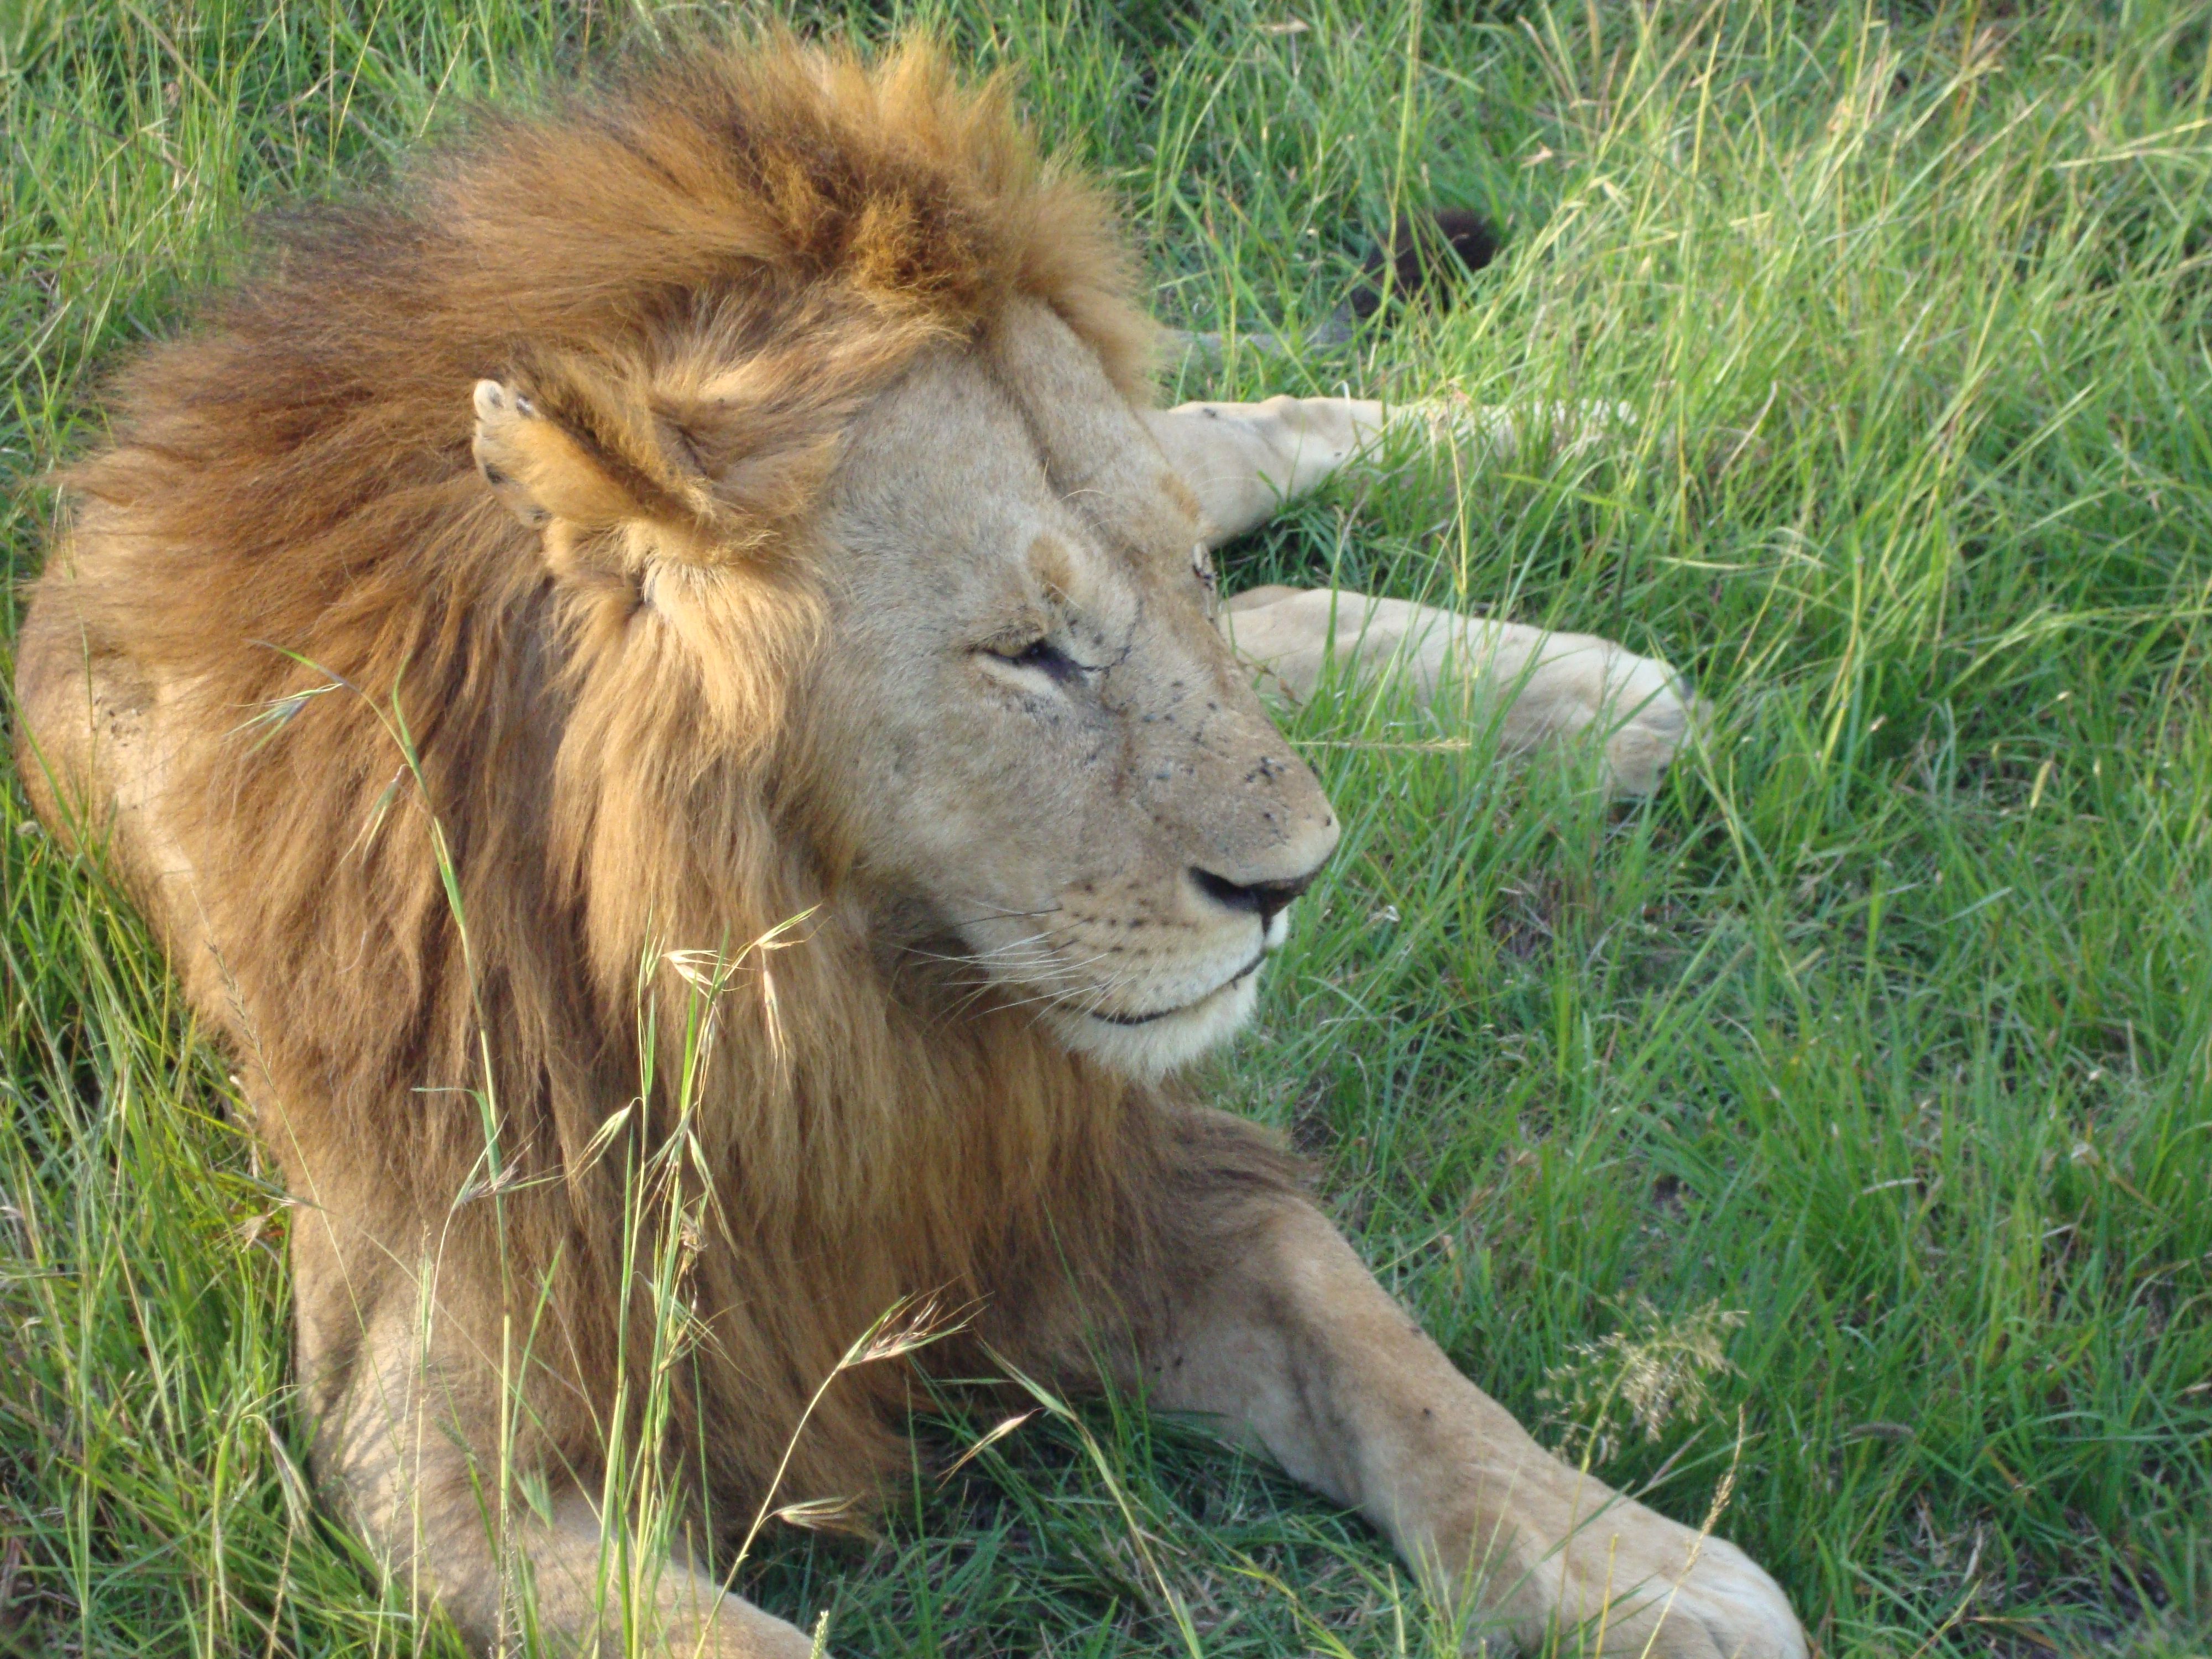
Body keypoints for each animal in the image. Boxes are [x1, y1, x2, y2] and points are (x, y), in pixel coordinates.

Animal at [12, 37, 1801, 1659]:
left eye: (1163, 595)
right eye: (1027, 653)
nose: (1292, 883)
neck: (811, 994)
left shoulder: (1091, 1176)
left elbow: (1375, 1348)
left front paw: (1627, 1562)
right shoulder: (435, 1450)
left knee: (1250, 441)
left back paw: (1621, 449)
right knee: (1289, 594)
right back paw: (1594, 686)